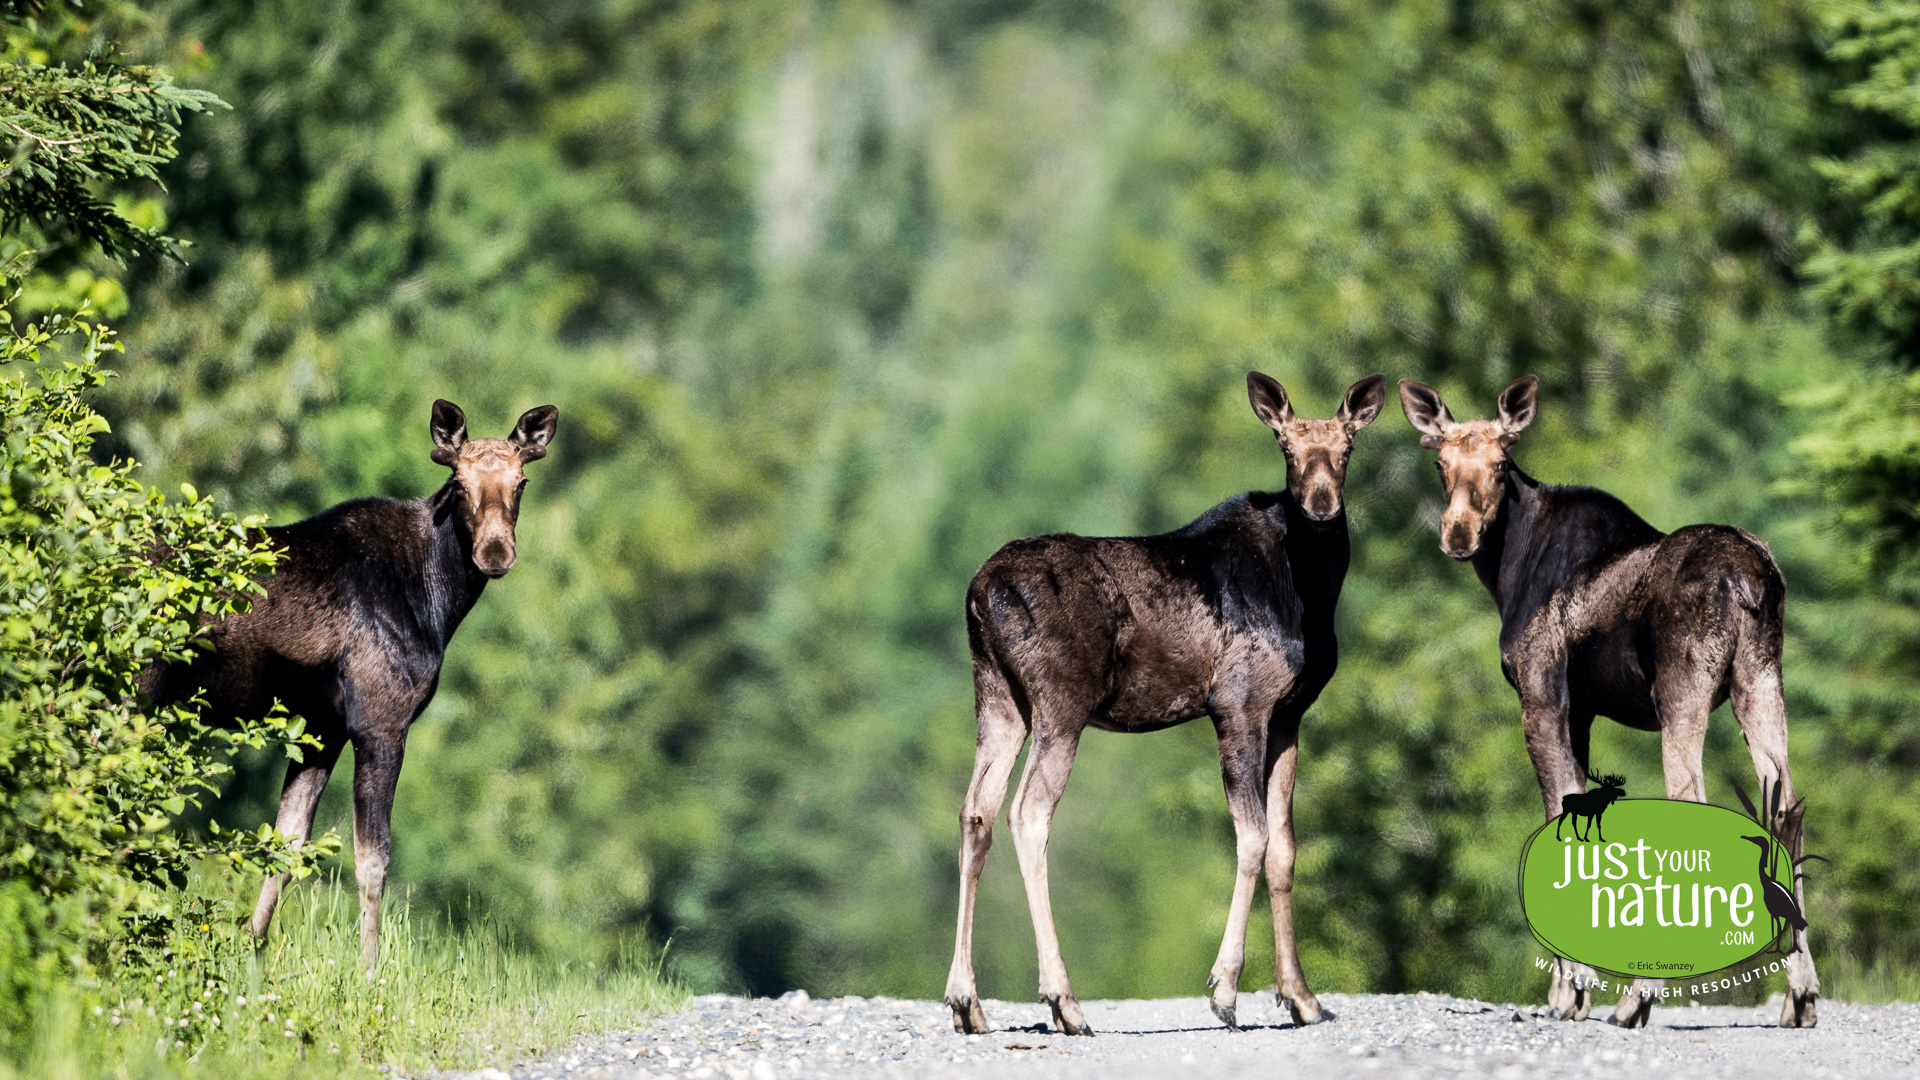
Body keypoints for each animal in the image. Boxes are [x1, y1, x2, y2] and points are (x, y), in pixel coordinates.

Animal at [140, 399, 560, 972]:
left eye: (521, 481)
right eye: (458, 482)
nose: (495, 553)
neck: (440, 599)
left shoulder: (322, 728)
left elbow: (288, 844)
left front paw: (250, 954)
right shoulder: (380, 722)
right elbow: (372, 857)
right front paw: (369, 971)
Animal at [940, 368, 1382, 1037]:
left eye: (1347, 447)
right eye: (1286, 448)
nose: (1322, 504)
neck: (1312, 592)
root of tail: (979, 592)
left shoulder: (1289, 714)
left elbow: (1285, 847)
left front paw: (1303, 999)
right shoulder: (1239, 701)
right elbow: (1252, 837)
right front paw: (1225, 989)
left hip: (997, 697)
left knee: (977, 810)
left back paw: (968, 1001)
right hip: (1061, 701)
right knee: (1028, 812)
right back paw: (1064, 1001)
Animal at [1397, 376, 1812, 1022]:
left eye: (1500, 463)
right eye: (1440, 462)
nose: (1458, 534)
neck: (1506, 568)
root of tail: (1748, 583)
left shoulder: (1541, 695)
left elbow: (1555, 811)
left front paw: (1573, 988)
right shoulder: (1583, 711)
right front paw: (1567, 988)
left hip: (1682, 690)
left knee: (1695, 804)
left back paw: (1640, 996)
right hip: (1762, 680)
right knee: (1786, 807)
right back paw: (1801, 994)